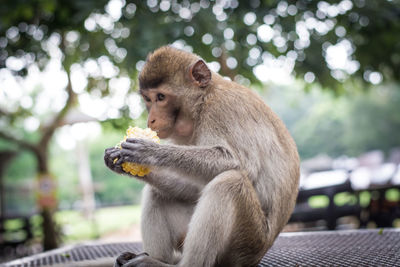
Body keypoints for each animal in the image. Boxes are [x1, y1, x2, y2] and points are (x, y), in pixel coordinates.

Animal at [104, 46, 300, 267]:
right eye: (148, 99)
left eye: (161, 97)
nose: (151, 120)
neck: (203, 100)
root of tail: (260, 252)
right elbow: (196, 186)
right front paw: (125, 165)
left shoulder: (222, 110)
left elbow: (239, 163)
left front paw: (148, 152)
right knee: (158, 192)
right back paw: (158, 258)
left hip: (245, 245)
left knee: (229, 182)